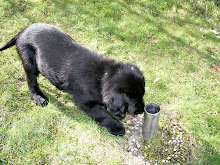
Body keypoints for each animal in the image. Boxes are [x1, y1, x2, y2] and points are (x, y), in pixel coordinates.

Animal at [0, 22, 146, 135]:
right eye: (131, 99)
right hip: (29, 61)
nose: (141, 110)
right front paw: (116, 126)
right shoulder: (85, 102)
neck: (104, 76)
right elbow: (102, 114)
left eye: (142, 94)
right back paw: (38, 98)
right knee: (31, 81)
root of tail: (22, 31)